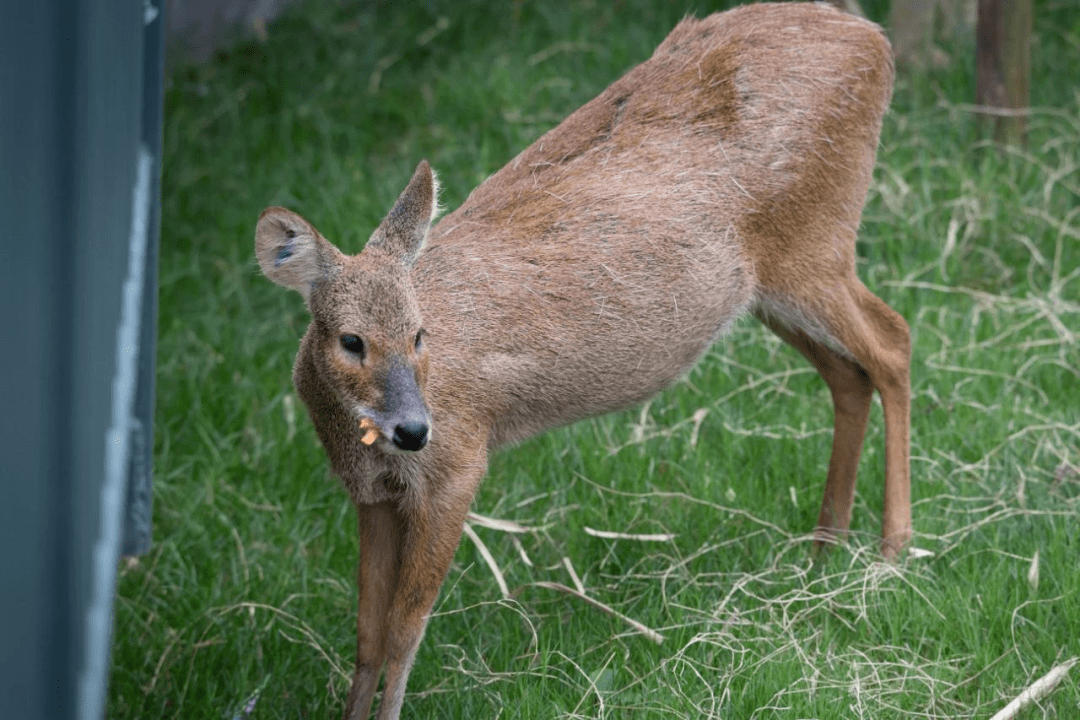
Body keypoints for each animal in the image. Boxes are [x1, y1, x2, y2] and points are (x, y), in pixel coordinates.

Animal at [252, 2, 911, 716]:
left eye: (420, 333)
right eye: (351, 340)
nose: (413, 429)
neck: (362, 438)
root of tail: (872, 40)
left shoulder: (458, 466)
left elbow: (405, 631)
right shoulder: (370, 494)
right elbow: (368, 636)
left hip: (815, 244)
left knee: (894, 341)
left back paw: (892, 550)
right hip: (772, 285)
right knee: (850, 372)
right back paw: (825, 549)